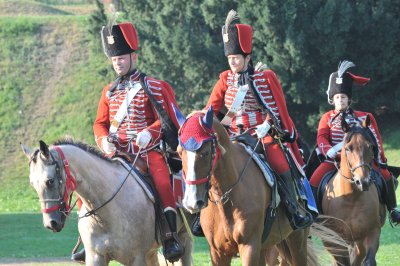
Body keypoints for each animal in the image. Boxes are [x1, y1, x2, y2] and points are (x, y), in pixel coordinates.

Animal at [21, 138, 193, 264]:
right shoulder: (96, 257)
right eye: (32, 184)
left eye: (50, 181)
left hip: (184, 239)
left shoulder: (137, 258)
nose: (51, 223)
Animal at [318, 115, 386, 264]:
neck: (351, 197)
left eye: (371, 147)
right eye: (348, 148)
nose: (363, 181)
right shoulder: (337, 239)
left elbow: (368, 260)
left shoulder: (372, 232)